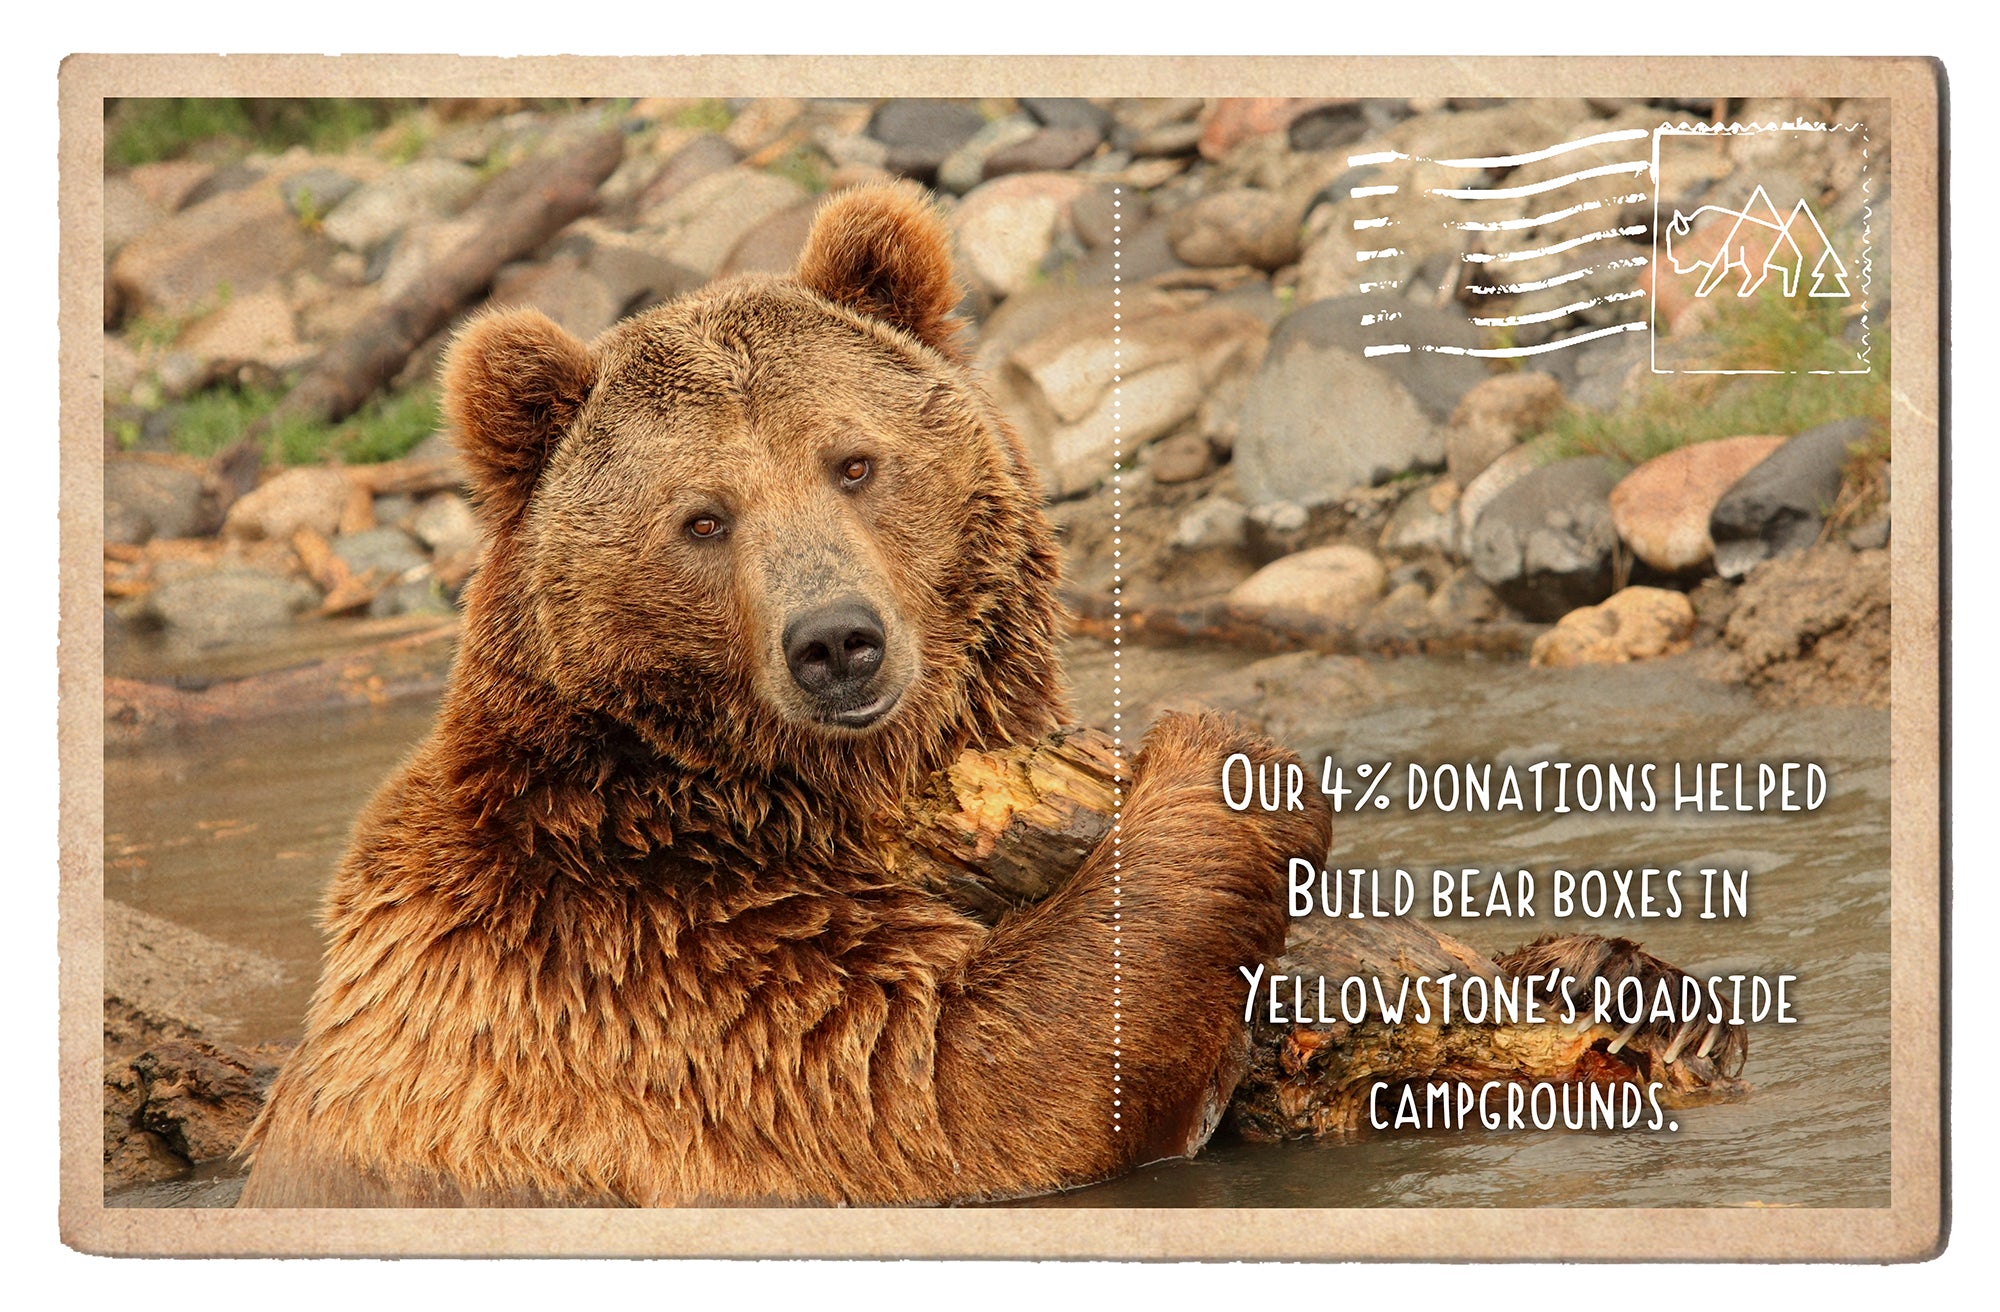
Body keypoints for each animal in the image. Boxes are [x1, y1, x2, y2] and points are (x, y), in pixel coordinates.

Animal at [236, 183, 1332, 1207]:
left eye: (853, 461)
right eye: (702, 518)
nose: (836, 642)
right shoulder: (634, 964)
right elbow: (947, 1080)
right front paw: (1224, 761)